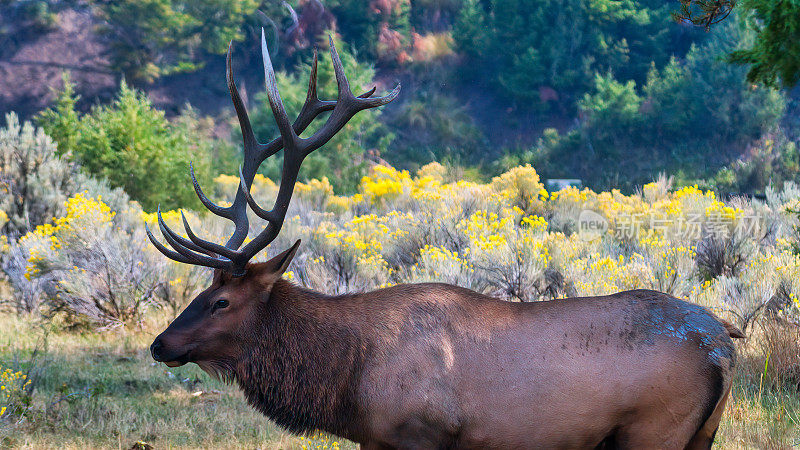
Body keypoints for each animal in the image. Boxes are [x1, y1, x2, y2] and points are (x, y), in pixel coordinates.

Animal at [148, 29, 744, 448]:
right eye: (200, 291)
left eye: (221, 301)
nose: (159, 344)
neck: (348, 383)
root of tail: (725, 342)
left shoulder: (418, 433)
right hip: (701, 434)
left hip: (654, 429)